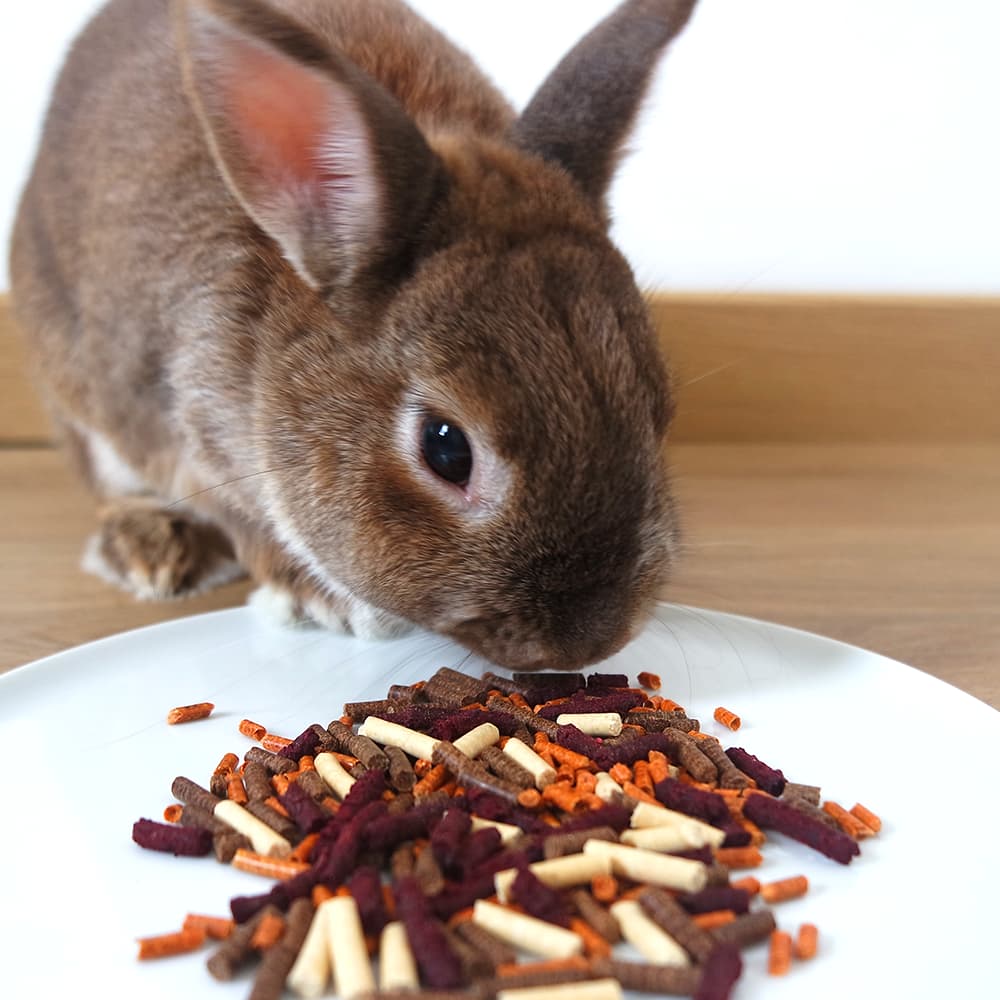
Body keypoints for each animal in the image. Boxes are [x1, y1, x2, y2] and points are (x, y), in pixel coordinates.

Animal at [9, 0, 697, 671]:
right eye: (447, 450)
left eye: (656, 410)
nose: (585, 644)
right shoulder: (188, 429)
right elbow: (242, 519)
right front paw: (320, 602)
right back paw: (155, 554)